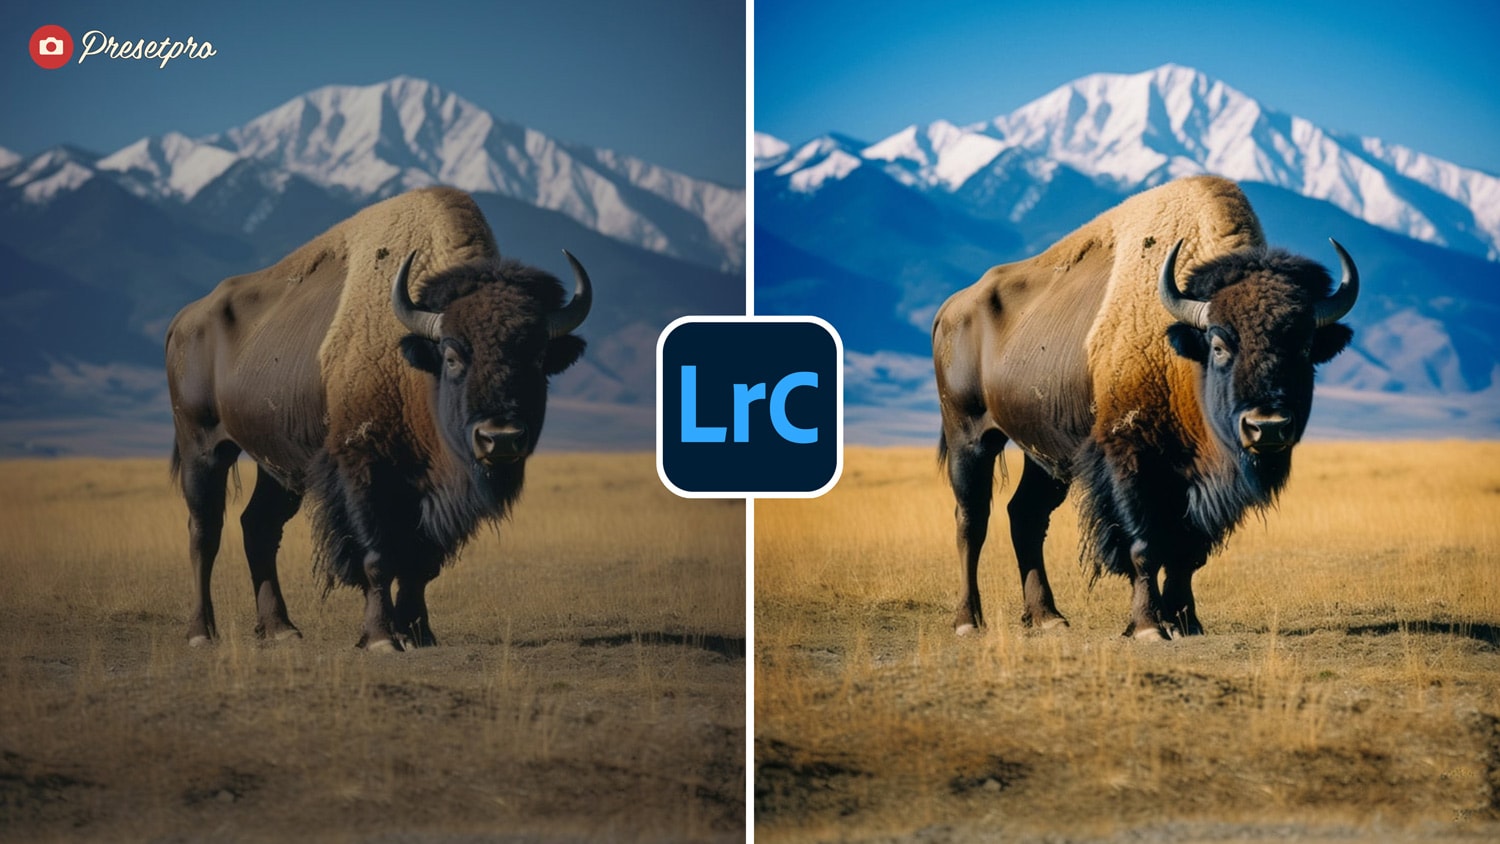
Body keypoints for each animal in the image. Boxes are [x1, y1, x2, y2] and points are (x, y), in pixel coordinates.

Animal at [164, 186, 585, 653]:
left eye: (539, 357)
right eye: (452, 356)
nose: (501, 438)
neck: (414, 365)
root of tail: (184, 321)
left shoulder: (429, 494)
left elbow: (421, 563)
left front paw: (419, 632)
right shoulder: (363, 472)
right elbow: (377, 557)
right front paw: (382, 637)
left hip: (278, 467)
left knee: (258, 527)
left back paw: (281, 628)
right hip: (203, 448)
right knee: (204, 531)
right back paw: (201, 633)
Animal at [930, 176, 1356, 641]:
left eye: (1305, 347)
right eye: (1219, 345)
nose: (1268, 426)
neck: (1181, 353)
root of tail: (951, 309)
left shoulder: (1196, 484)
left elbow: (1188, 551)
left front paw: (1186, 620)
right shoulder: (1131, 462)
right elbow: (1144, 545)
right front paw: (1149, 625)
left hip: (1044, 457)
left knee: (1025, 515)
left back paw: (1049, 617)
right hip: (970, 437)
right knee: (971, 519)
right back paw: (969, 621)